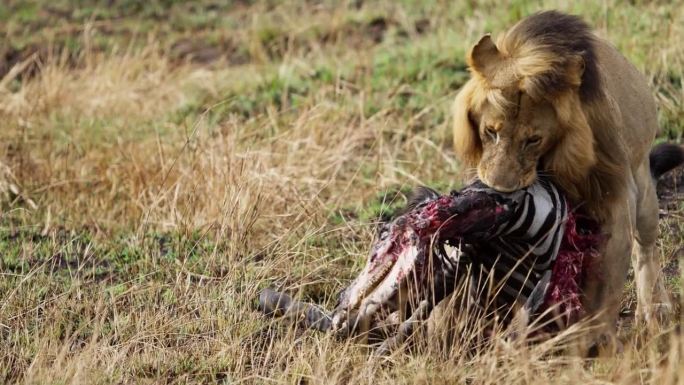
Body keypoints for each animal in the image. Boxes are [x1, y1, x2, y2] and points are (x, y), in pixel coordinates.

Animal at [452, 9, 680, 352]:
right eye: (491, 131)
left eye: (533, 140)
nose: (501, 189)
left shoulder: (617, 193)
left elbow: (609, 278)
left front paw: (596, 337)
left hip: (644, 189)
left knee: (646, 252)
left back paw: (653, 310)